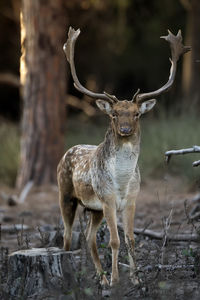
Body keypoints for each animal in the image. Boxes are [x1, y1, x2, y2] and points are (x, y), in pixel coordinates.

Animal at [57, 27, 190, 284]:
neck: (121, 182)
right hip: (66, 194)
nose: (126, 129)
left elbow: (130, 239)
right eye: (115, 115)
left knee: (88, 237)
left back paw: (101, 278)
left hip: (94, 209)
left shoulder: (131, 200)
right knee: (67, 237)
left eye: (137, 113)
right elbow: (114, 241)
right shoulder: (107, 199)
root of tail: (66, 152)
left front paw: (136, 279)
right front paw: (118, 280)